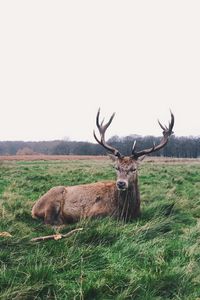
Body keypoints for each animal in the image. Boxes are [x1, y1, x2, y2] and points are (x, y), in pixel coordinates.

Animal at [31, 109, 173, 224]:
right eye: (116, 167)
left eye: (134, 168)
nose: (121, 183)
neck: (126, 211)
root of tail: (33, 209)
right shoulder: (92, 214)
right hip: (53, 200)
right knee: (49, 222)